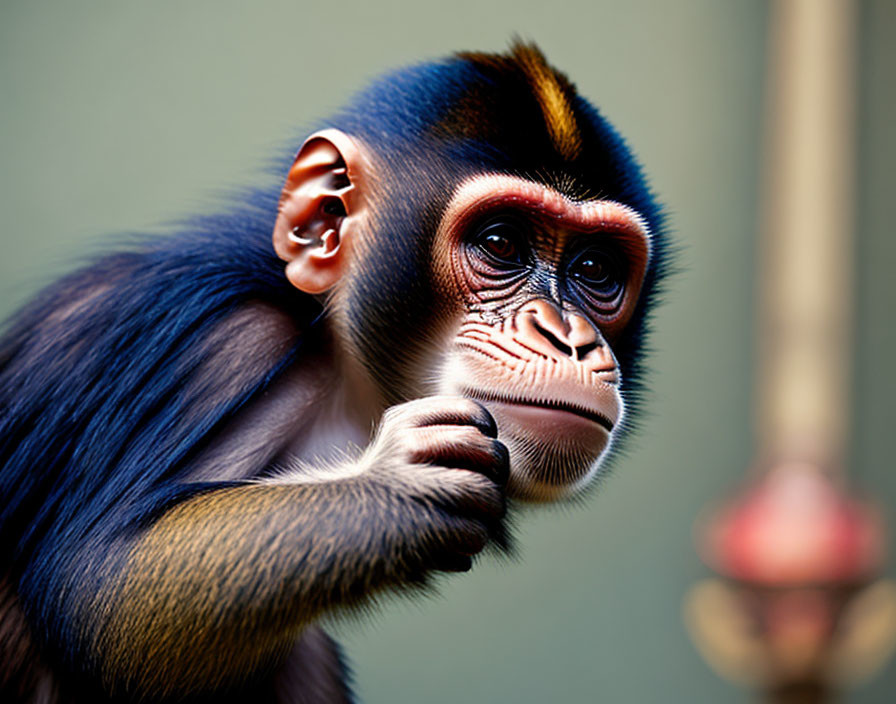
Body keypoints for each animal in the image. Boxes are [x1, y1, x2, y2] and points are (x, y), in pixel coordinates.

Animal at [0, 41, 664, 700]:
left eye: (595, 268)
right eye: (501, 243)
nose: (568, 337)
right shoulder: (220, 345)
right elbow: (105, 592)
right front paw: (402, 487)